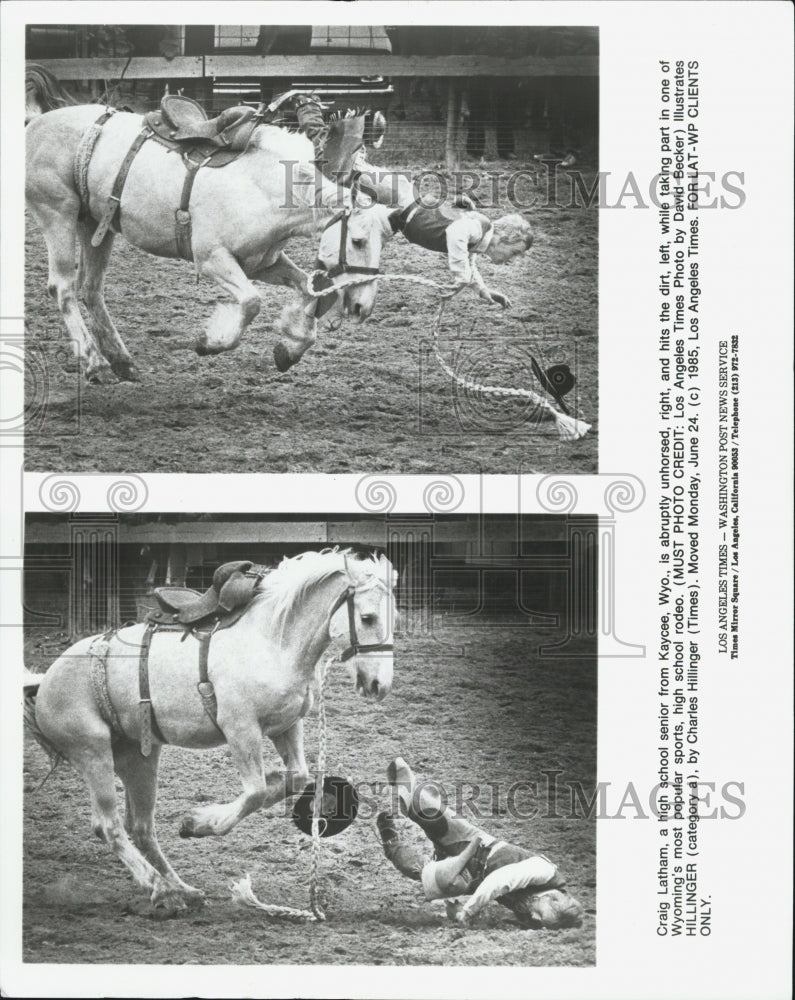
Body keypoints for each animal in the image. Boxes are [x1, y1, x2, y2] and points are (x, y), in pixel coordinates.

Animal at [24, 552, 398, 912]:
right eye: (367, 618)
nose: (378, 685)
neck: (273, 641)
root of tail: (45, 682)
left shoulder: (287, 726)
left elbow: (297, 777)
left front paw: (210, 813)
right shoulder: (240, 728)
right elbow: (255, 793)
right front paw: (199, 822)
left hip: (139, 757)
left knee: (141, 826)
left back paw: (181, 889)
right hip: (93, 753)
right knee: (109, 825)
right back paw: (161, 889)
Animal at [25, 103, 386, 380]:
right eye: (357, 241)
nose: (362, 308)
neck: (264, 184)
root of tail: (35, 124)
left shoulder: (262, 263)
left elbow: (308, 289)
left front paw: (290, 347)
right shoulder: (212, 258)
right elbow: (252, 302)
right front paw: (210, 341)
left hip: (94, 226)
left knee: (91, 289)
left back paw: (122, 361)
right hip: (58, 213)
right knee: (63, 288)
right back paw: (95, 363)